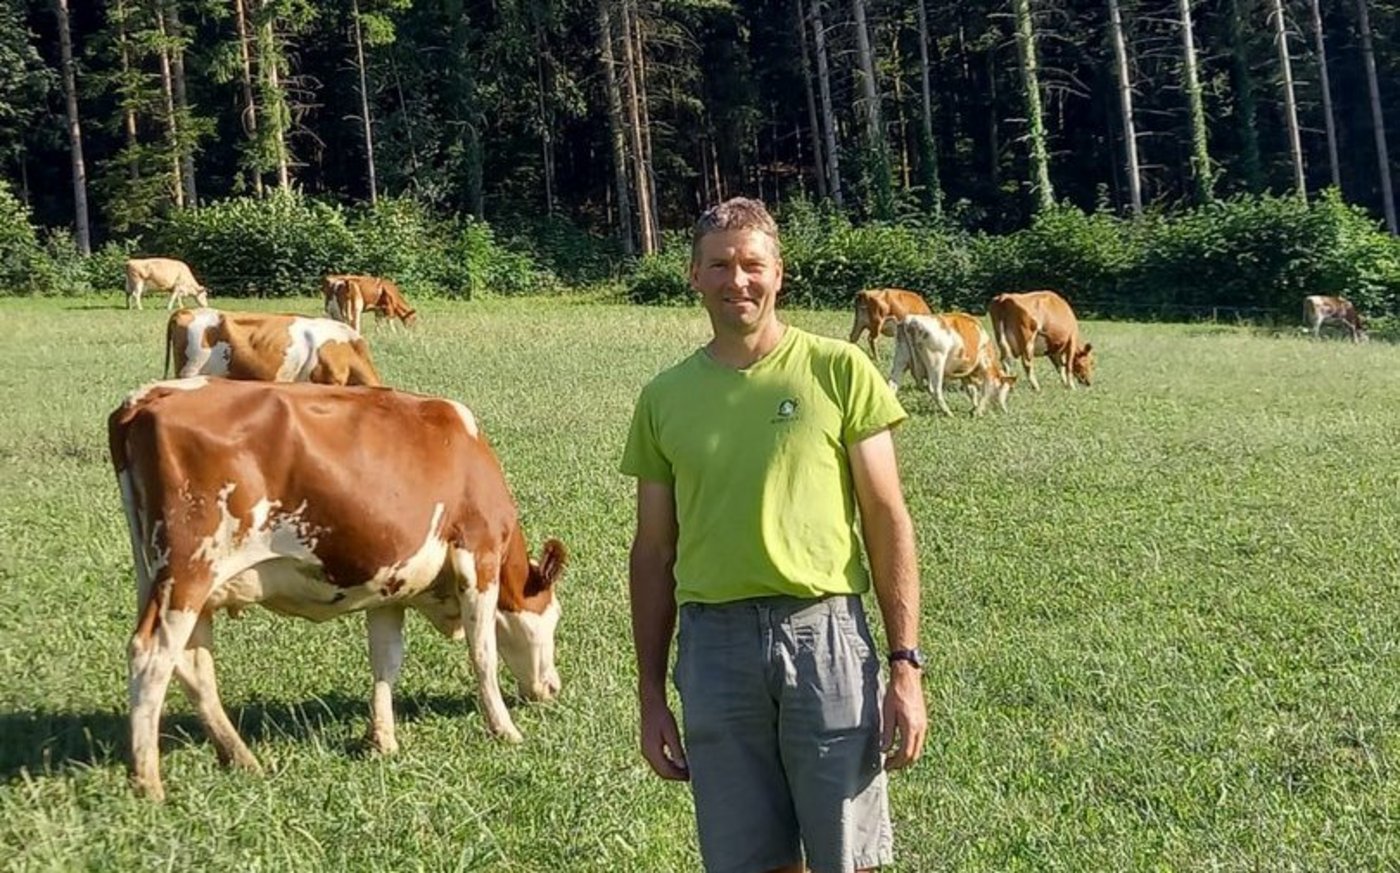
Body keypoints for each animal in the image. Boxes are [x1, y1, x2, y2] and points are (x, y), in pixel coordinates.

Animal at [109, 378, 567, 801]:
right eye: (554, 617)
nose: (552, 687)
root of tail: (148, 396)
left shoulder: (391, 585)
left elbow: (386, 660)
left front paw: (381, 739)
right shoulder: (478, 555)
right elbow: (483, 653)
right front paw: (504, 728)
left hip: (165, 578)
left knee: (193, 663)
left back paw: (239, 757)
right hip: (190, 570)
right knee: (151, 655)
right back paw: (148, 782)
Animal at [888, 313, 1017, 417]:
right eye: (1005, 390)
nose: (1005, 410)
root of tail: (910, 319)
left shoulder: (965, 373)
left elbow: (971, 391)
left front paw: (974, 408)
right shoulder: (987, 368)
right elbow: (986, 392)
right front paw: (979, 412)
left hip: (901, 359)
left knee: (892, 385)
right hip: (936, 362)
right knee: (934, 389)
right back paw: (948, 413)